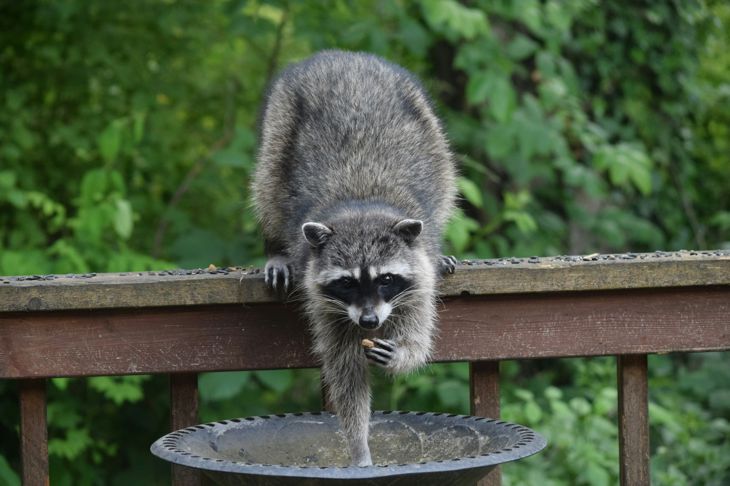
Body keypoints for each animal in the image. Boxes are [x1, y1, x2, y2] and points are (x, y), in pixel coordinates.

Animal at [251, 50, 457, 466]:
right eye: (346, 283)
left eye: (385, 280)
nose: (369, 321)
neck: (361, 207)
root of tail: (339, 55)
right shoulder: (325, 303)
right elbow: (344, 370)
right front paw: (359, 446)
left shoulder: (418, 277)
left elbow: (419, 337)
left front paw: (403, 354)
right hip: (280, 123)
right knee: (266, 187)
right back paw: (274, 248)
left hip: (427, 123)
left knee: (445, 179)